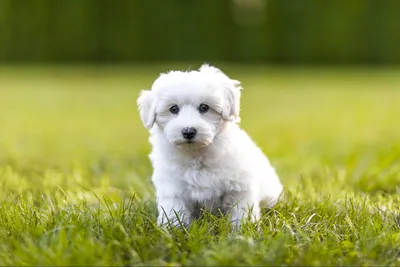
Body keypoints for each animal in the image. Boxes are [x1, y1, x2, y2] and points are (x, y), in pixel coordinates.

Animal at [138, 64, 284, 228]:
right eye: (173, 109)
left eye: (204, 107)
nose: (188, 131)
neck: (197, 154)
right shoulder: (172, 189)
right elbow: (174, 212)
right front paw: (173, 229)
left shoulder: (240, 187)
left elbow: (241, 211)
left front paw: (241, 229)